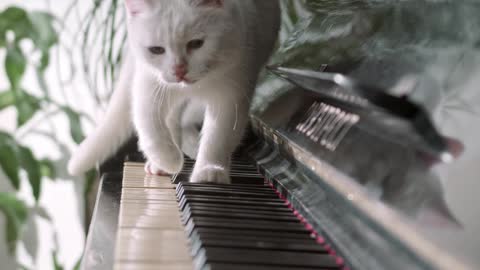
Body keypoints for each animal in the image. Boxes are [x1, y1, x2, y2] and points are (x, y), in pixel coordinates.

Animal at [65, 0, 280, 184]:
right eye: (156, 50)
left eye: (196, 43)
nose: (179, 70)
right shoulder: (149, 88)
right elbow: (152, 131)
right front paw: (170, 161)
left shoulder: (232, 96)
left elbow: (218, 137)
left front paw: (209, 171)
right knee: (172, 121)